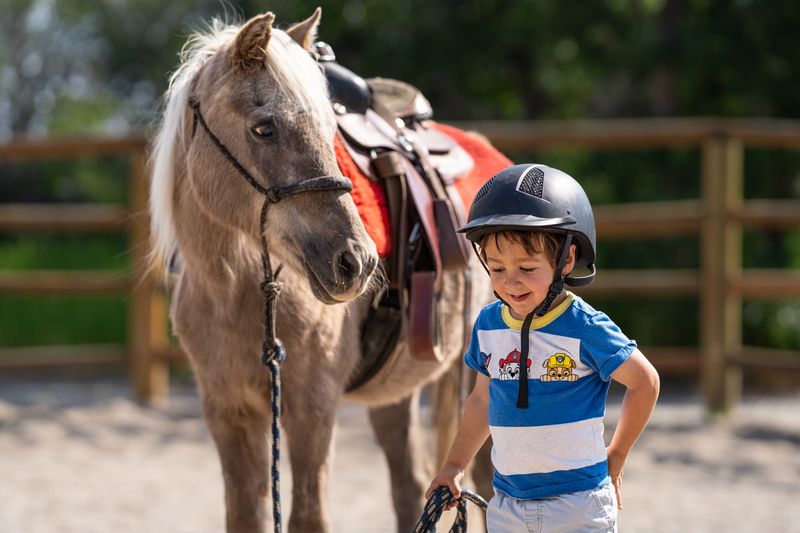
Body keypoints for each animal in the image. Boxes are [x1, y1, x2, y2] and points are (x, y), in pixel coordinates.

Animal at [149, 9, 494, 533]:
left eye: (330, 129)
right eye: (264, 128)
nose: (357, 260)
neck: (233, 293)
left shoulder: (313, 410)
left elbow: (310, 516)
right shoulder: (228, 413)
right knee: (411, 485)